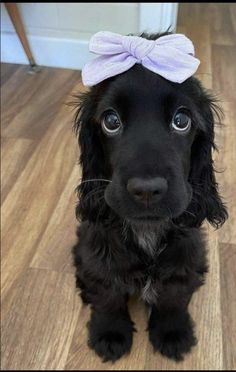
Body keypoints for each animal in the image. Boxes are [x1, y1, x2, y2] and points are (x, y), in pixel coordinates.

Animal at [71, 33, 227, 362]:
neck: (146, 230)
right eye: (111, 121)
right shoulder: (100, 257)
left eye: (182, 120)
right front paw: (110, 334)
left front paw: (172, 333)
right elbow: (107, 295)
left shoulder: (183, 260)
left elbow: (174, 297)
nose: (146, 189)